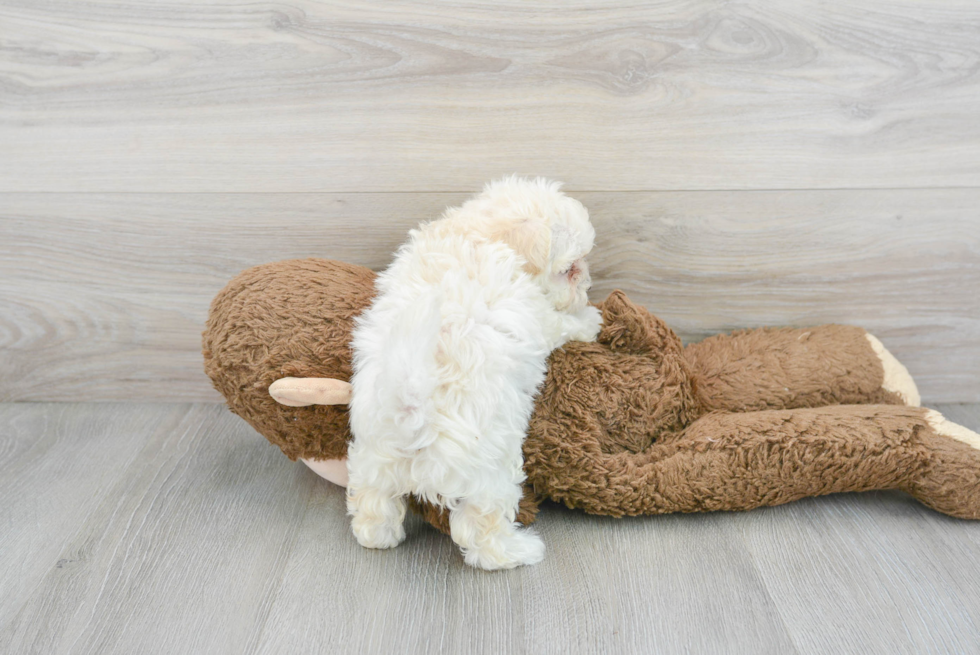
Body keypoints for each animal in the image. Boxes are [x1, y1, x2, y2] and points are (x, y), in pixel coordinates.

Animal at [348, 177, 600, 572]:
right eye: (569, 268)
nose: (587, 283)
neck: (480, 234)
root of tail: (411, 413)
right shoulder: (541, 317)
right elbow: (565, 323)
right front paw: (591, 319)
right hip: (490, 473)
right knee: (481, 529)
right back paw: (519, 551)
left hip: (372, 456)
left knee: (373, 499)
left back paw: (378, 535)